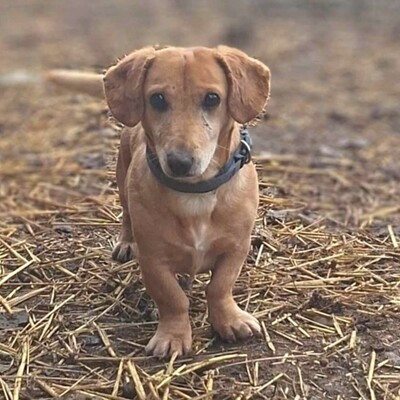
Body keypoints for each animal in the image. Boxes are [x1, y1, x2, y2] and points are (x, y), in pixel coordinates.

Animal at [48, 45, 270, 358]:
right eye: (157, 99)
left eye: (212, 98)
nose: (179, 162)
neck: (194, 194)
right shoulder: (153, 260)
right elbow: (172, 298)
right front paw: (173, 336)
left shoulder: (236, 248)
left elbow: (219, 287)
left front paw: (230, 320)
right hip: (122, 182)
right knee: (126, 217)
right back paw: (125, 244)